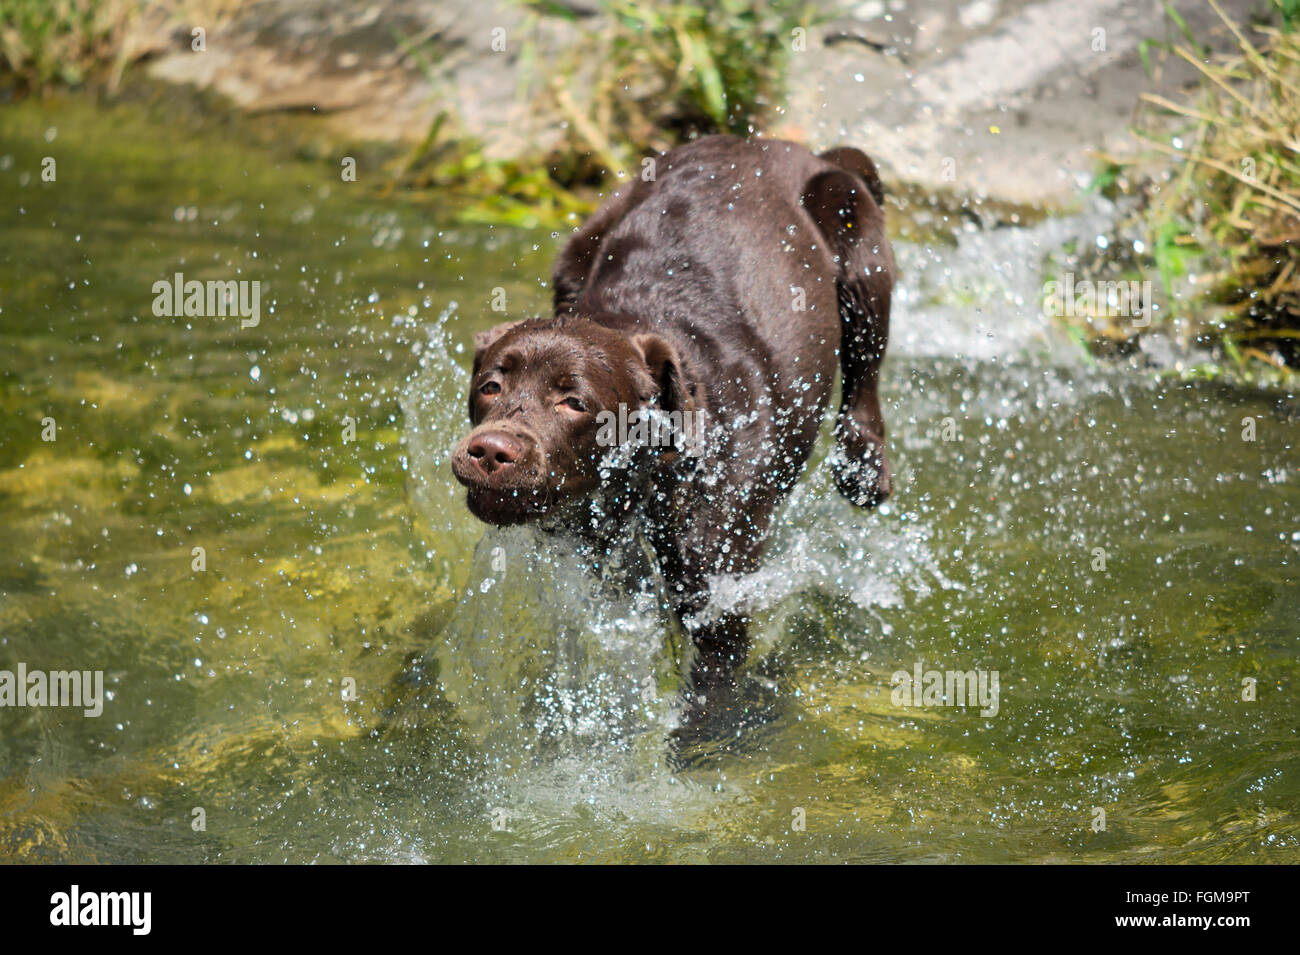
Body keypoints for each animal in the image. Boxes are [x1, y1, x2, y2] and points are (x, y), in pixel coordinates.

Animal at [449, 132, 894, 732]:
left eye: (574, 402)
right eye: (491, 386)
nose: (490, 450)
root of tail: (777, 145)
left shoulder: (718, 592)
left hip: (851, 224)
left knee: (865, 370)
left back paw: (863, 468)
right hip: (584, 239)